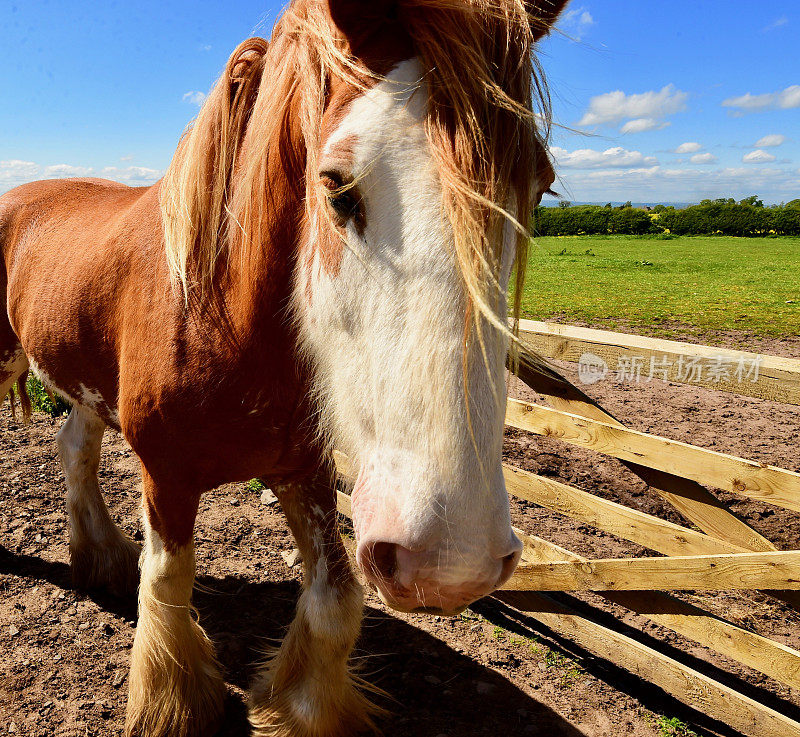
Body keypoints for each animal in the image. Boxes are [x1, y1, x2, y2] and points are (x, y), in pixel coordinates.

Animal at [1, 0, 564, 732]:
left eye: (540, 187)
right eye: (337, 185)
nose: (451, 558)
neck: (219, 312)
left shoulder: (302, 466)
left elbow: (336, 598)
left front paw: (296, 704)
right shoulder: (166, 474)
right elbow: (168, 584)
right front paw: (175, 701)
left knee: (73, 447)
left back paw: (100, 560)